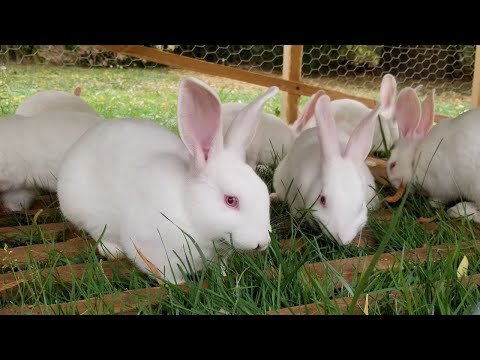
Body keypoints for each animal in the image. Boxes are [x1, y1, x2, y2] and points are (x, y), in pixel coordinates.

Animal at [58, 78, 280, 284]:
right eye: (231, 200)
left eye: (264, 192)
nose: (262, 243)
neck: (190, 211)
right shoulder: (153, 250)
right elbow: (168, 276)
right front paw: (177, 285)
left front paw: (223, 275)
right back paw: (113, 250)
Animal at [388, 86, 480, 222]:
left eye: (392, 165)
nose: (392, 184)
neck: (416, 158)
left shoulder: (441, 186)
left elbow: (439, 198)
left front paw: (432, 203)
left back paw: (458, 211)